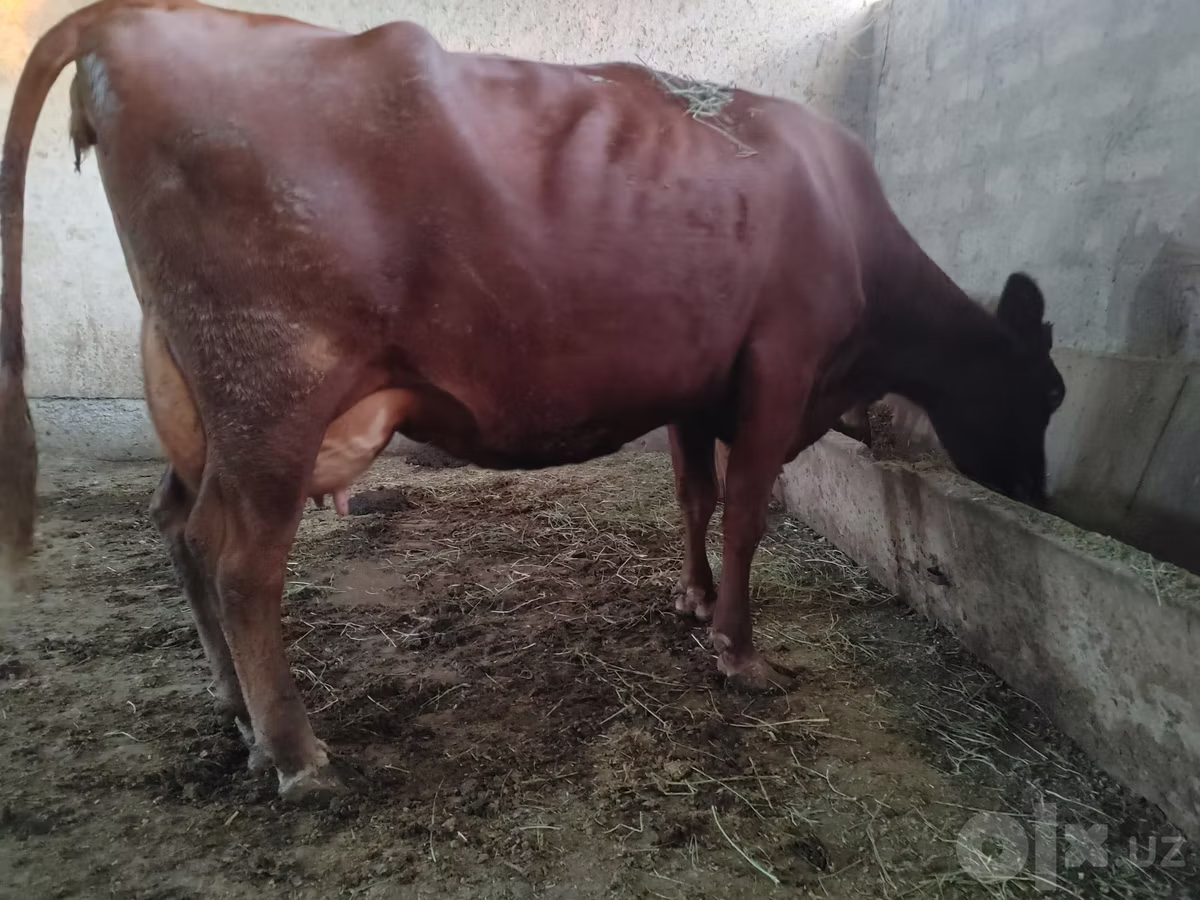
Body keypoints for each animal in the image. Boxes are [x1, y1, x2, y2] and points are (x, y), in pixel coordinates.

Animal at [0, 0, 1065, 801]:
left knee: (177, 525)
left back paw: (235, 711)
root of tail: (132, 19)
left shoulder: (698, 385)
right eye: (1050, 391)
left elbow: (696, 498)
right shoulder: (779, 370)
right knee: (239, 564)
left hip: (194, 394)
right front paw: (739, 650)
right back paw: (297, 755)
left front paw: (690, 599)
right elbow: (748, 515)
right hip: (274, 392)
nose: (1041, 498)